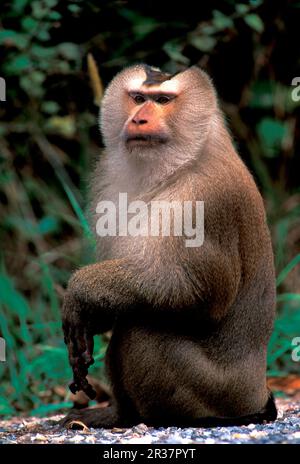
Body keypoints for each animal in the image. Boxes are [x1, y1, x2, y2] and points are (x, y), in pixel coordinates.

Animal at [59, 64, 278, 428]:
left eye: (162, 100)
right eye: (138, 98)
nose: (139, 119)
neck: (179, 164)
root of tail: (257, 395)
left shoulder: (204, 200)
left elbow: (193, 288)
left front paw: (79, 291)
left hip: (215, 392)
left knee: (143, 330)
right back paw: (117, 414)